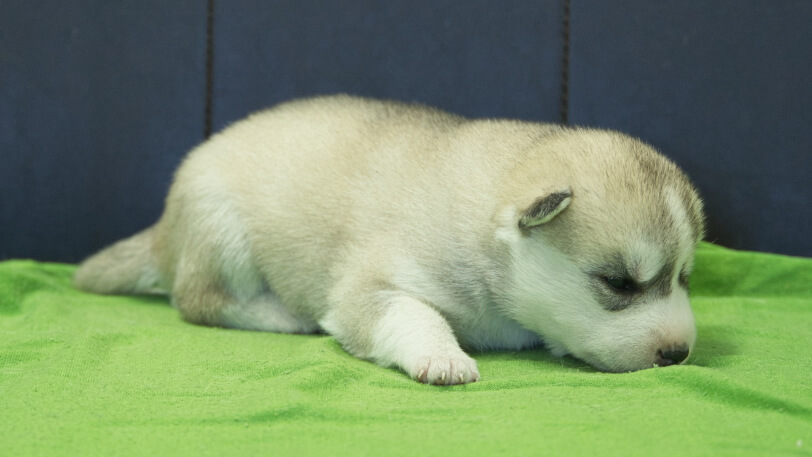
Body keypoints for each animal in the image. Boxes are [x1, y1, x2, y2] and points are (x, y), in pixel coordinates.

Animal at [74, 94, 704, 382]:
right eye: (617, 283)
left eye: (683, 277)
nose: (678, 353)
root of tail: (164, 228)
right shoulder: (371, 286)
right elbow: (411, 314)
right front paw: (442, 356)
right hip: (223, 230)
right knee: (200, 300)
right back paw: (280, 315)